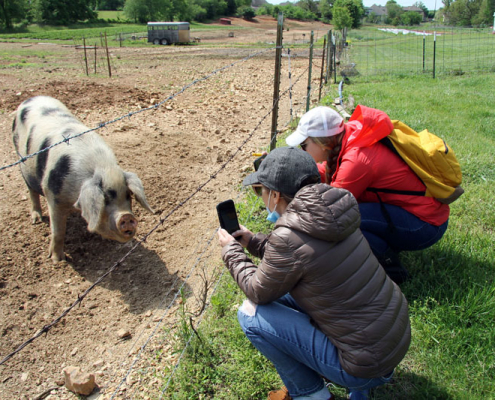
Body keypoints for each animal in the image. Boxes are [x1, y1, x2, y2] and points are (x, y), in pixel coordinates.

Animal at [12, 95, 155, 260]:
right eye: (105, 199)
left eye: (128, 195)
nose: (126, 217)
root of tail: (32, 98)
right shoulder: (53, 196)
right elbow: (58, 231)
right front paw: (57, 260)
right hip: (22, 162)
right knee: (31, 191)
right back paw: (36, 220)